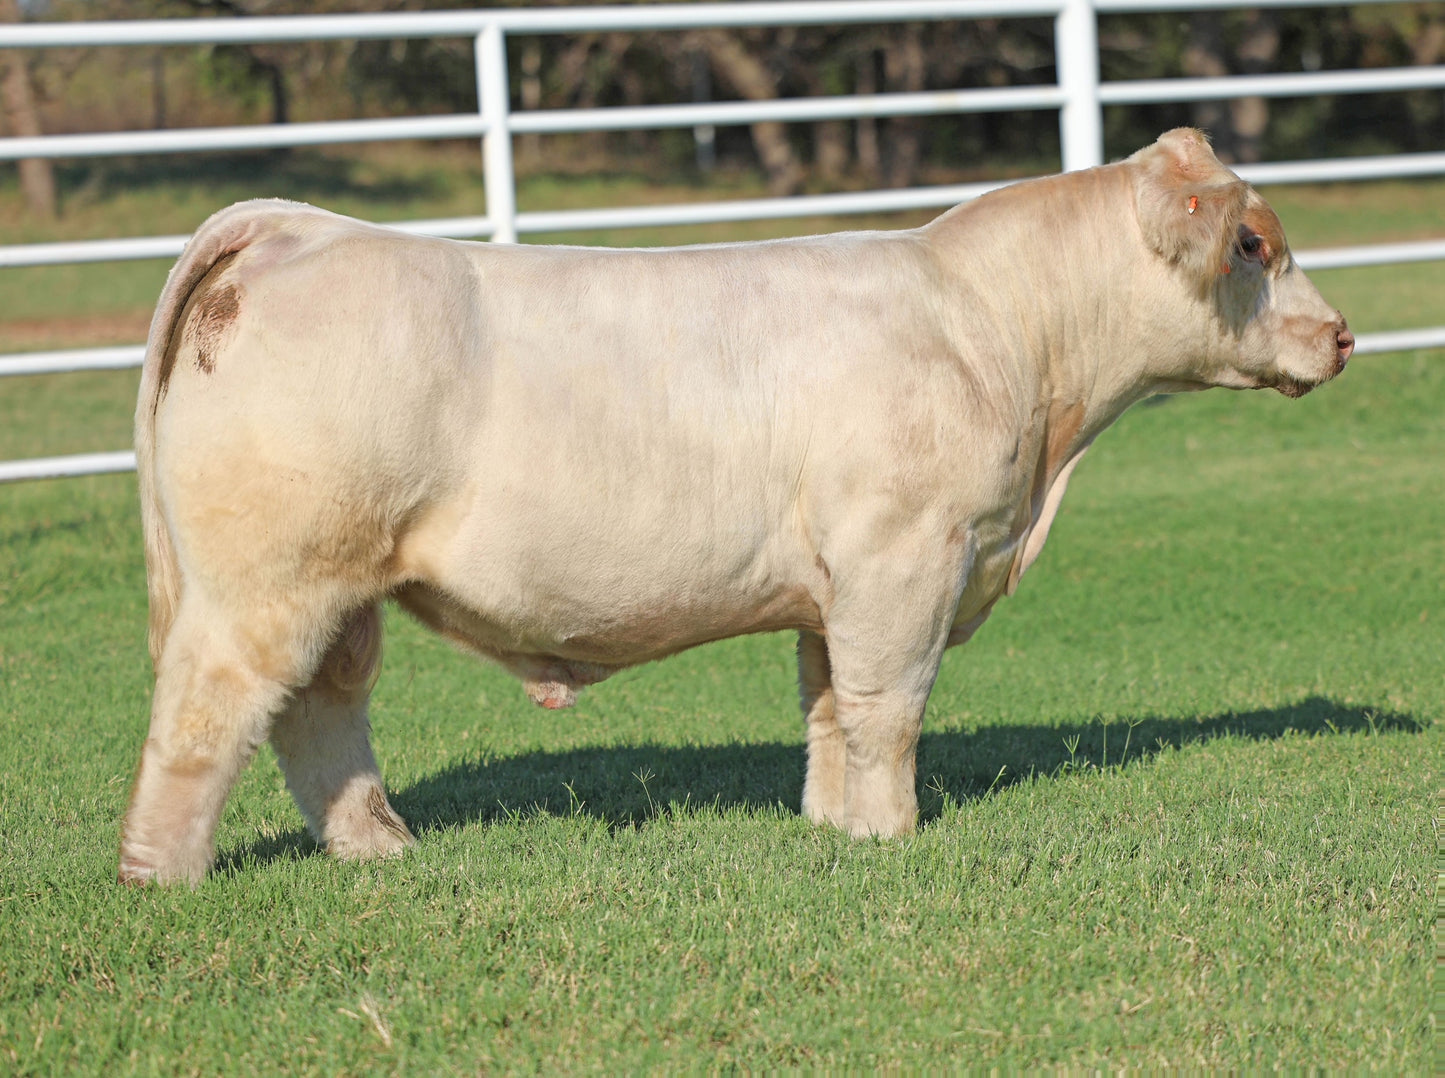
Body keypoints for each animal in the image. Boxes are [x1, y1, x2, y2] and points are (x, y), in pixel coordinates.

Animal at [118, 129, 1352, 884]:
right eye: (1254, 243)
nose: (1340, 336)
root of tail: (301, 226)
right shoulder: (907, 554)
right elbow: (888, 705)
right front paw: (894, 833)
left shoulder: (837, 581)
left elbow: (827, 706)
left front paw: (836, 828)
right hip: (265, 579)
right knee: (208, 710)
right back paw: (163, 877)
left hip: (340, 586)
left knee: (320, 711)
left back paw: (379, 848)